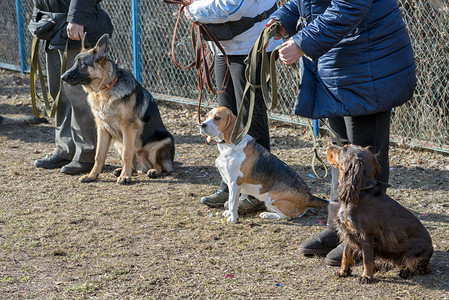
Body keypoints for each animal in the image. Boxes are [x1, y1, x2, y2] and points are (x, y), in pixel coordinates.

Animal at [62, 34, 174, 184]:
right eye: (74, 62)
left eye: (82, 64)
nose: (62, 77)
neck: (105, 89)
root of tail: (143, 167)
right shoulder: (102, 128)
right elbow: (99, 155)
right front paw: (92, 175)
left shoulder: (128, 127)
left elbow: (127, 154)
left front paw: (125, 177)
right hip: (117, 143)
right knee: (133, 164)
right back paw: (121, 171)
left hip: (159, 142)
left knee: (160, 166)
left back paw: (152, 171)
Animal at [198, 107, 328, 223]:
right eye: (207, 116)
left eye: (217, 118)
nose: (201, 125)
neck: (230, 145)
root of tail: (308, 196)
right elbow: (232, 201)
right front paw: (230, 214)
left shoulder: (235, 183)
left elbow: (232, 203)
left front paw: (233, 219)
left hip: (271, 199)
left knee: (288, 216)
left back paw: (267, 214)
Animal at [328, 145, 432, 284]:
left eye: (344, 149)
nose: (329, 147)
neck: (361, 192)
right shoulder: (348, 232)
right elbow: (346, 254)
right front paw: (343, 272)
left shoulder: (366, 236)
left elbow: (367, 259)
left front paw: (366, 277)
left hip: (416, 256)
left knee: (419, 267)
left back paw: (405, 272)